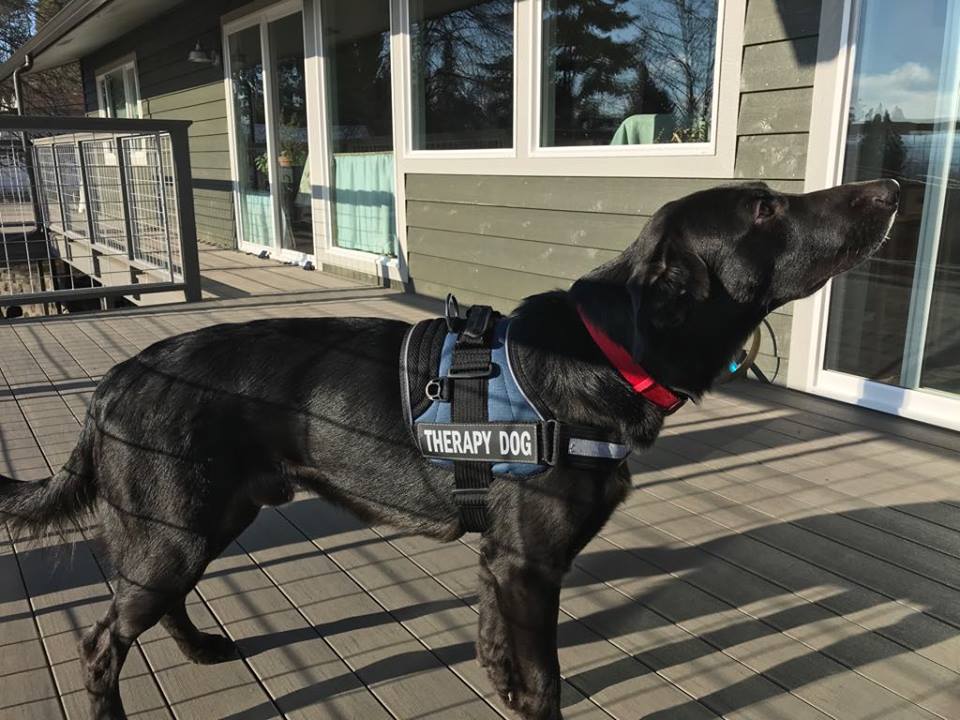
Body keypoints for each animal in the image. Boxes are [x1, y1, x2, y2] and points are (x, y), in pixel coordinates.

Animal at [1, 177, 900, 716]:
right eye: (764, 211)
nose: (890, 187)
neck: (606, 353)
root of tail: (116, 376)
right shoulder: (528, 565)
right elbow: (546, 680)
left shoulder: (500, 564)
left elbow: (499, 653)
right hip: (176, 530)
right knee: (101, 642)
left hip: (200, 522)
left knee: (157, 607)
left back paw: (199, 647)